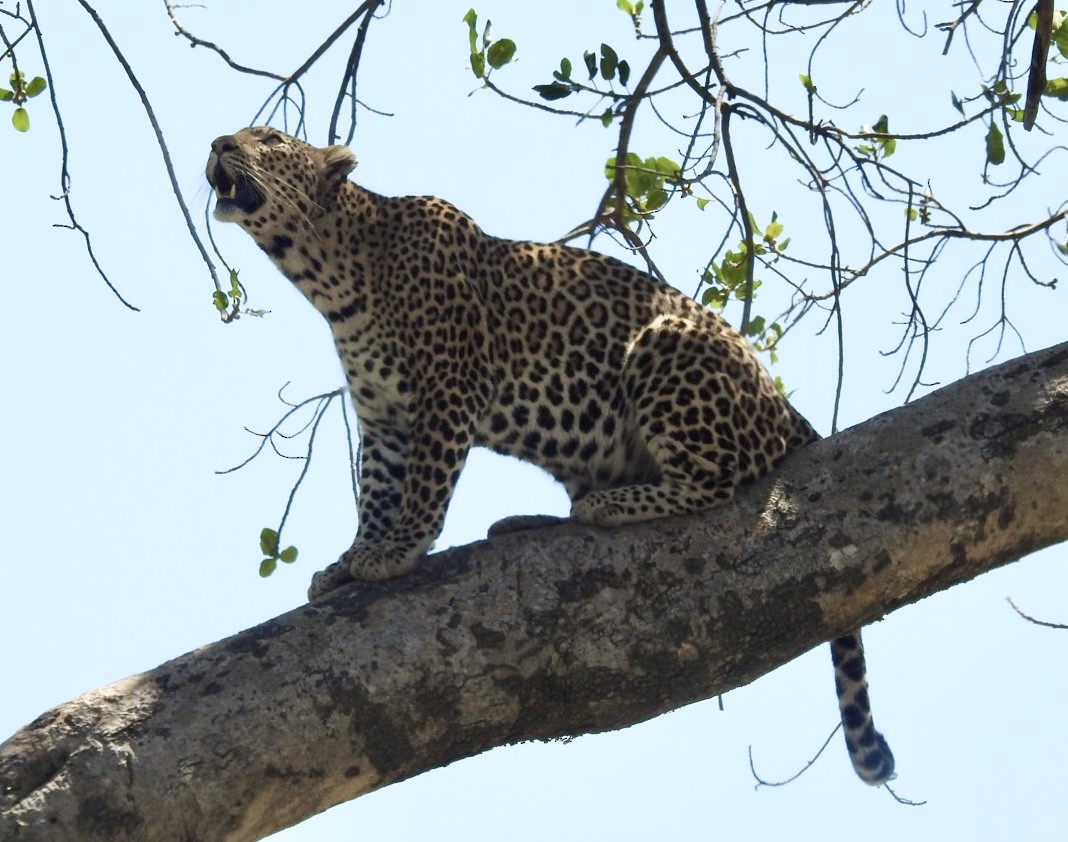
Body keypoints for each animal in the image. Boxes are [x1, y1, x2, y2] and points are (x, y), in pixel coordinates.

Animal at [206, 126, 895, 785]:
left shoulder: (447, 391)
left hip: (668, 345)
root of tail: (785, 408)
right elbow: (374, 495)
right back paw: (531, 520)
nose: (218, 143)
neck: (333, 273)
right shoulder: (383, 422)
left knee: (716, 475)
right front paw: (351, 561)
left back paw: (611, 505)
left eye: (270, 139)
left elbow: (425, 489)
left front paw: (397, 553)